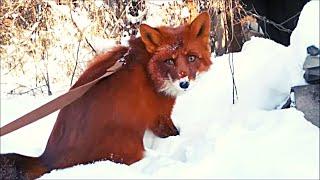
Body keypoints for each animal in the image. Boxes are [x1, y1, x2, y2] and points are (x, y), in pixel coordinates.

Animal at [0, 12, 212, 179]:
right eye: (169, 61)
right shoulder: (159, 117)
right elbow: (173, 133)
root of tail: (47, 158)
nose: (184, 84)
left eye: (191, 58)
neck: (148, 70)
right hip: (130, 142)